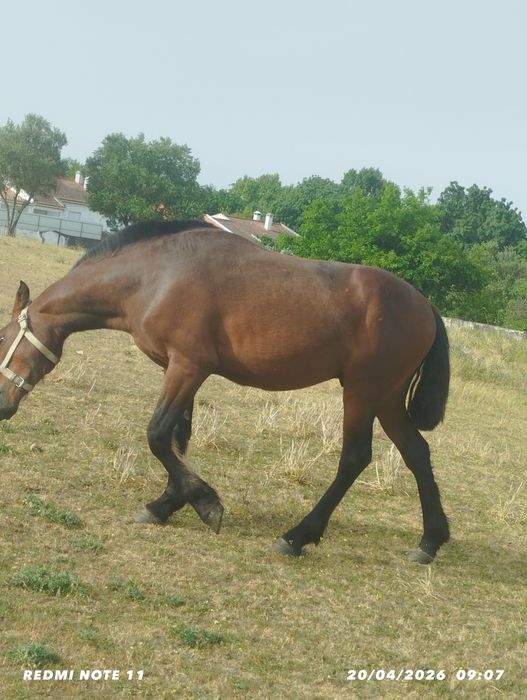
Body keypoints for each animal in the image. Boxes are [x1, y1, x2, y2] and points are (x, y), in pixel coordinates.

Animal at [0, 220, 450, 564]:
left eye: (3, 337)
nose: (2, 406)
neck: (156, 276)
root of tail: (426, 306)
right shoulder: (179, 370)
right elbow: (175, 441)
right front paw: (166, 504)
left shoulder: (188, 367)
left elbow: (157, 436)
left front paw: (204, 503)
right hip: (386, 398)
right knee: (417, 453)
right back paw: (430, 541)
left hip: (361, 393)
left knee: (354, 459)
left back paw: (296, 537)